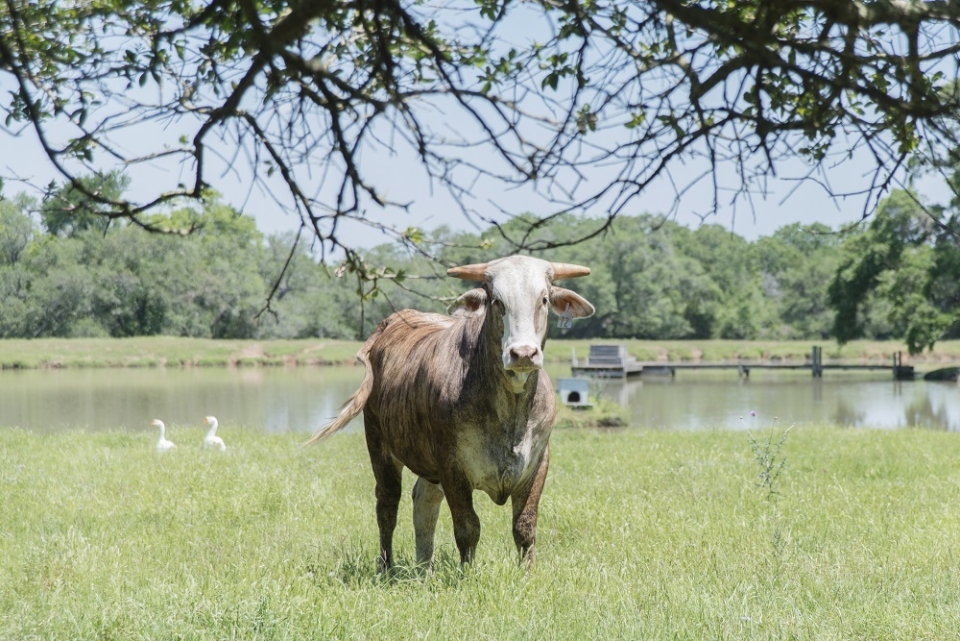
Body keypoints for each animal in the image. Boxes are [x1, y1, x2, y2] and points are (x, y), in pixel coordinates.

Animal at [308, 252, 592, 568]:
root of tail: (392, 322)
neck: (511, 411)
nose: (523, 354)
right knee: (387, 505)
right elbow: (468, 528)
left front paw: (526, 574)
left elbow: (525, 527)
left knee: (424, 503)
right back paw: (386, 566)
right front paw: (467, 573)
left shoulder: (538, 462)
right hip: (379, 444)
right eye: (497, 301)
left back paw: (424, 568)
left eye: (543, 299)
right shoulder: (452, 466)